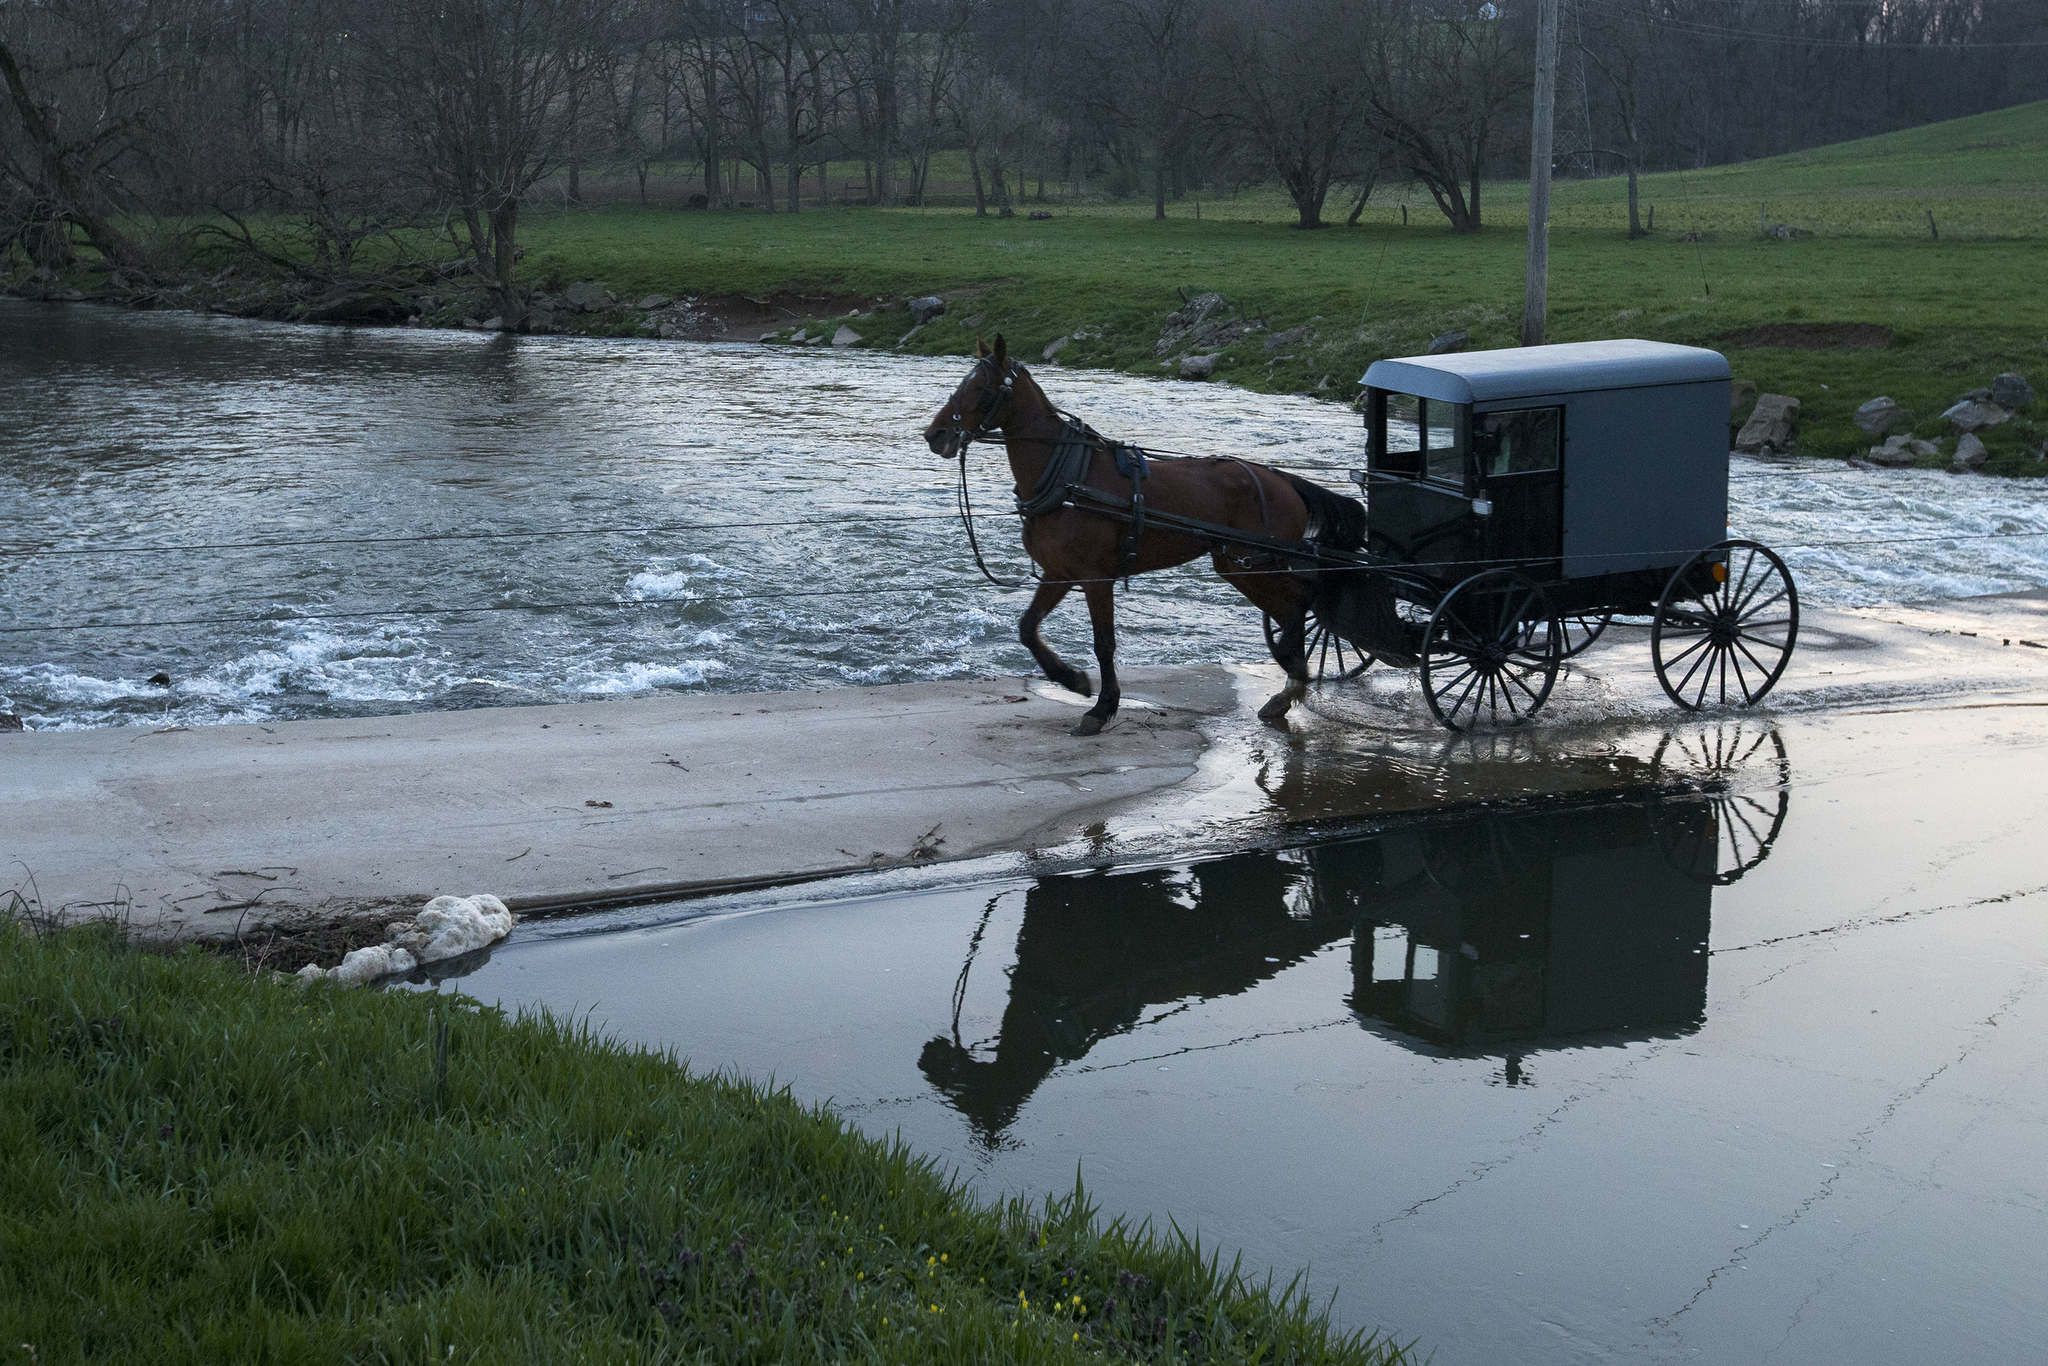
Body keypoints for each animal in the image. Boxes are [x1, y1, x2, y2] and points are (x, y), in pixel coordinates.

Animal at [929, 335, 1359, 733]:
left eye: (981, 388)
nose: (935, 434)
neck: (1070, 476)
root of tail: (1284, 480)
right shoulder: (1059, 573)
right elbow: (1028, 628)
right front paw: (1072, 679)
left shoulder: (1095, 577)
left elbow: (1104, 643)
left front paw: (1102, 707)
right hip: (1238, 565)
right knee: (1291, 610)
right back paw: (1288, 685)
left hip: (1255, 564)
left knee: (1301, 603)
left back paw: (1293, 679)